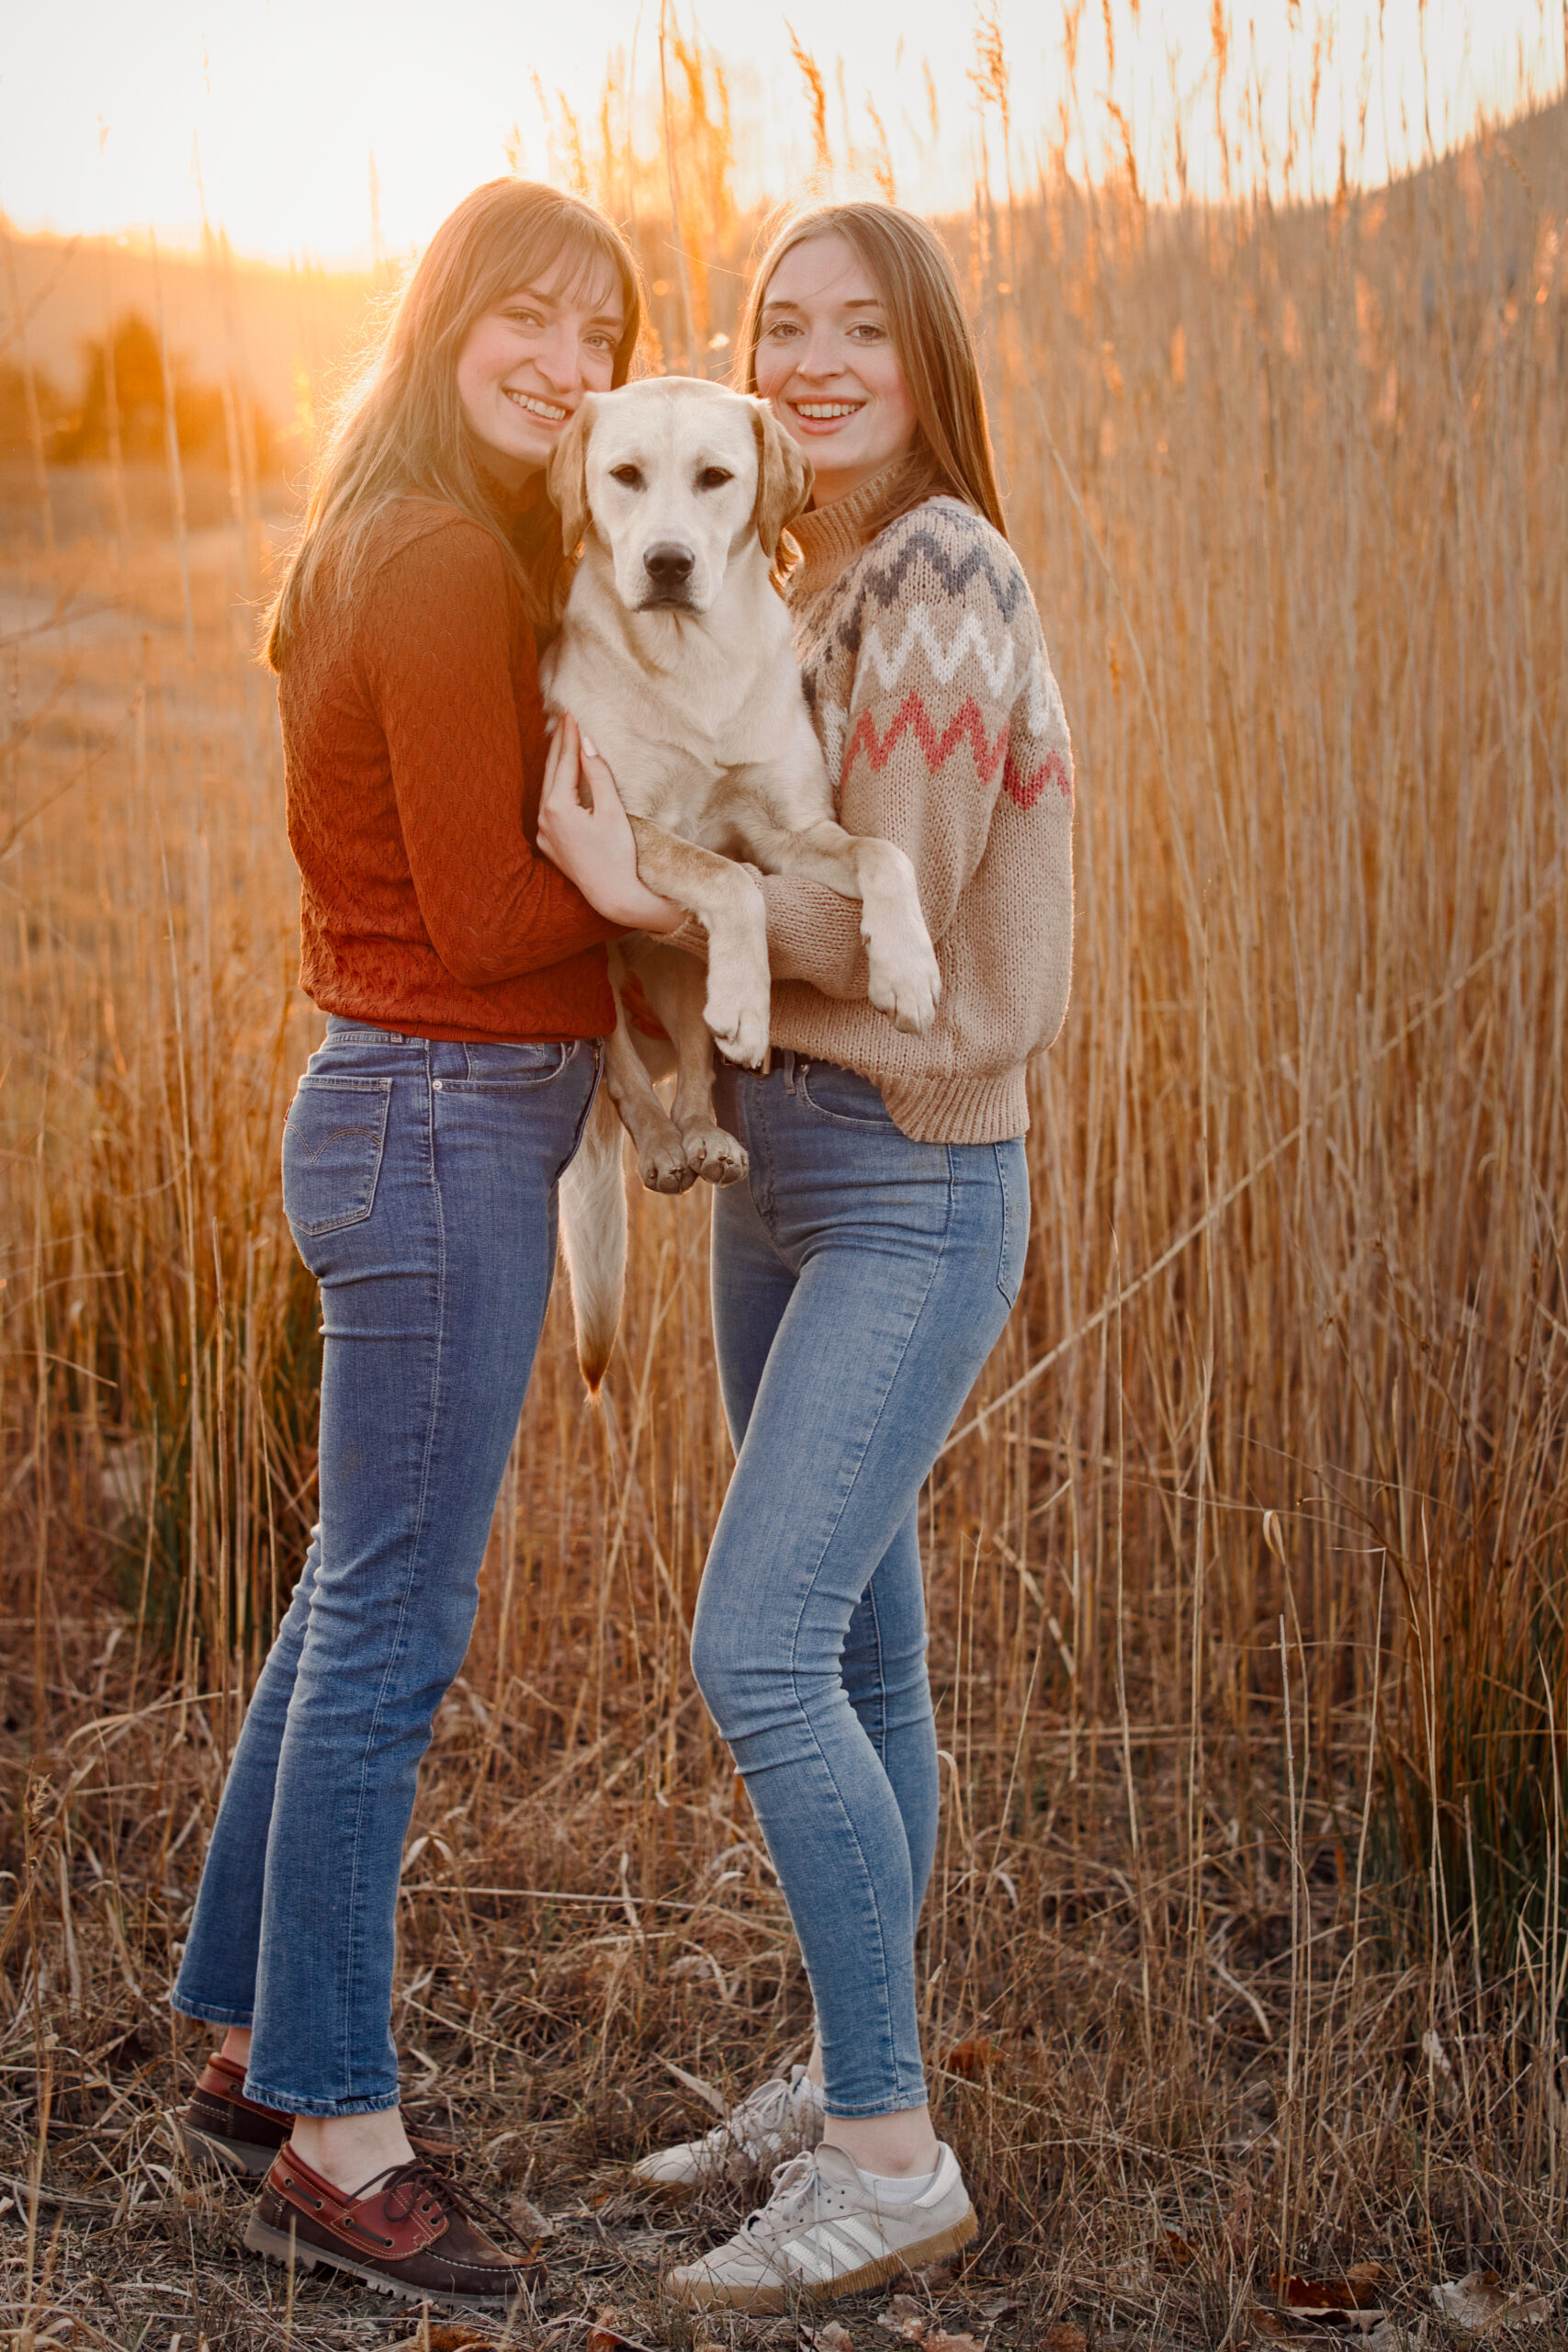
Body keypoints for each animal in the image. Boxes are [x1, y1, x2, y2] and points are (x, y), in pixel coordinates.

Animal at [540, 376, 940, 1383]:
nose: (667, 562)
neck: (692, 662)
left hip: (677, 973)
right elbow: (728, 880)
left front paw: (908, 970)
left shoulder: (789, 830)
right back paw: (662, 1145)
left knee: (692, 1060)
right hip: (593, 971)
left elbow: (884, 854)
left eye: (715, 478)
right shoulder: (617, 826)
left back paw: (708, 1136)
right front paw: (756, 1001)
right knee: (623, 1076)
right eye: (625, 476)